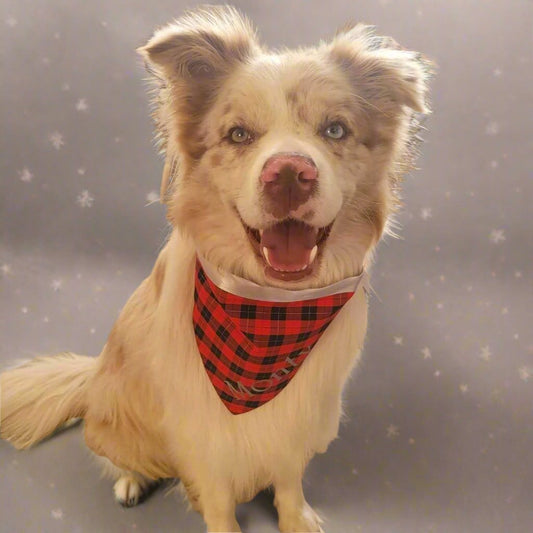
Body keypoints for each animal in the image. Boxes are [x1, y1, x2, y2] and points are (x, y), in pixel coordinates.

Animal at [0, 5, 430, 532]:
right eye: (238, 134)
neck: (271, 309)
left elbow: (288, 477)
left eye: (335, 130)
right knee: (119, 455)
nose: (290, 174)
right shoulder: (202, 428)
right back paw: (131, 481)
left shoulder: (300, 414)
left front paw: (296, 517)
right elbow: (219, 498)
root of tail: (93, 373)